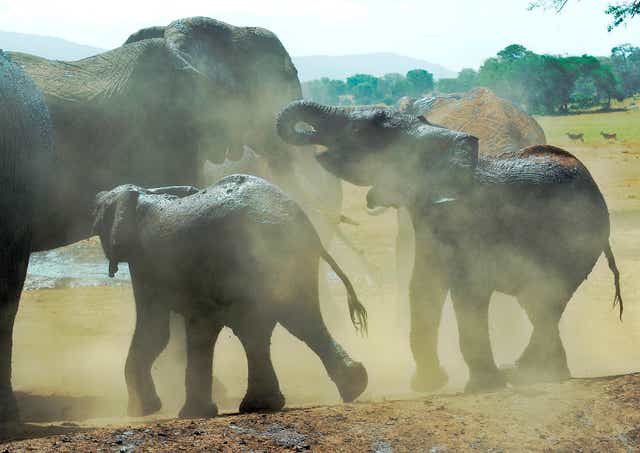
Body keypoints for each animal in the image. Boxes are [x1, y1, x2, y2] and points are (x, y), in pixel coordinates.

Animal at [91, 175, 368, 418]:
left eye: (100, 212)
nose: (95, 196)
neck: (146, 194)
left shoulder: (146, 264)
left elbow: (155, 332)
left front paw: (145, 411)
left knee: (267, 327)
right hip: (285, 263)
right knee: (297, 322)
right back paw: (351, 386)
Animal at [276, 100, 623, 393]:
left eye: (360, 132)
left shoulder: (471, 224)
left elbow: (469, 291)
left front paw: (483, 387)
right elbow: (422, 288)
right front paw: (427, 385)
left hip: (581, 239)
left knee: (544, 302)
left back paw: (526, 374)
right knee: (541, 305)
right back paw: (537, 374)